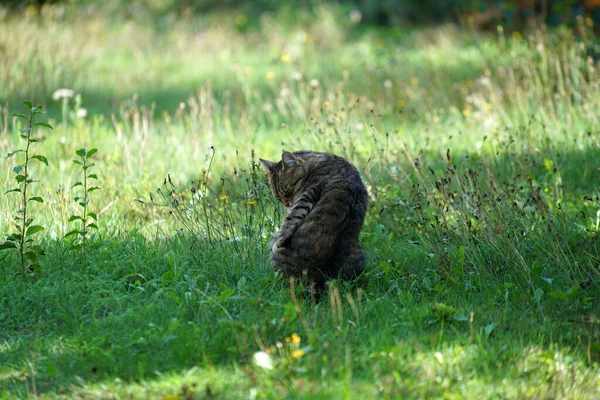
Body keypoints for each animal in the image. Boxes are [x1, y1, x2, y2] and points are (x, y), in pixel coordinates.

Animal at [260, 150, 368, 294]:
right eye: (278, 196)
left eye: (288, 190)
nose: (286, 203)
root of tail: (319, 278)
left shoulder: (307, 195)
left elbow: (291, 219)